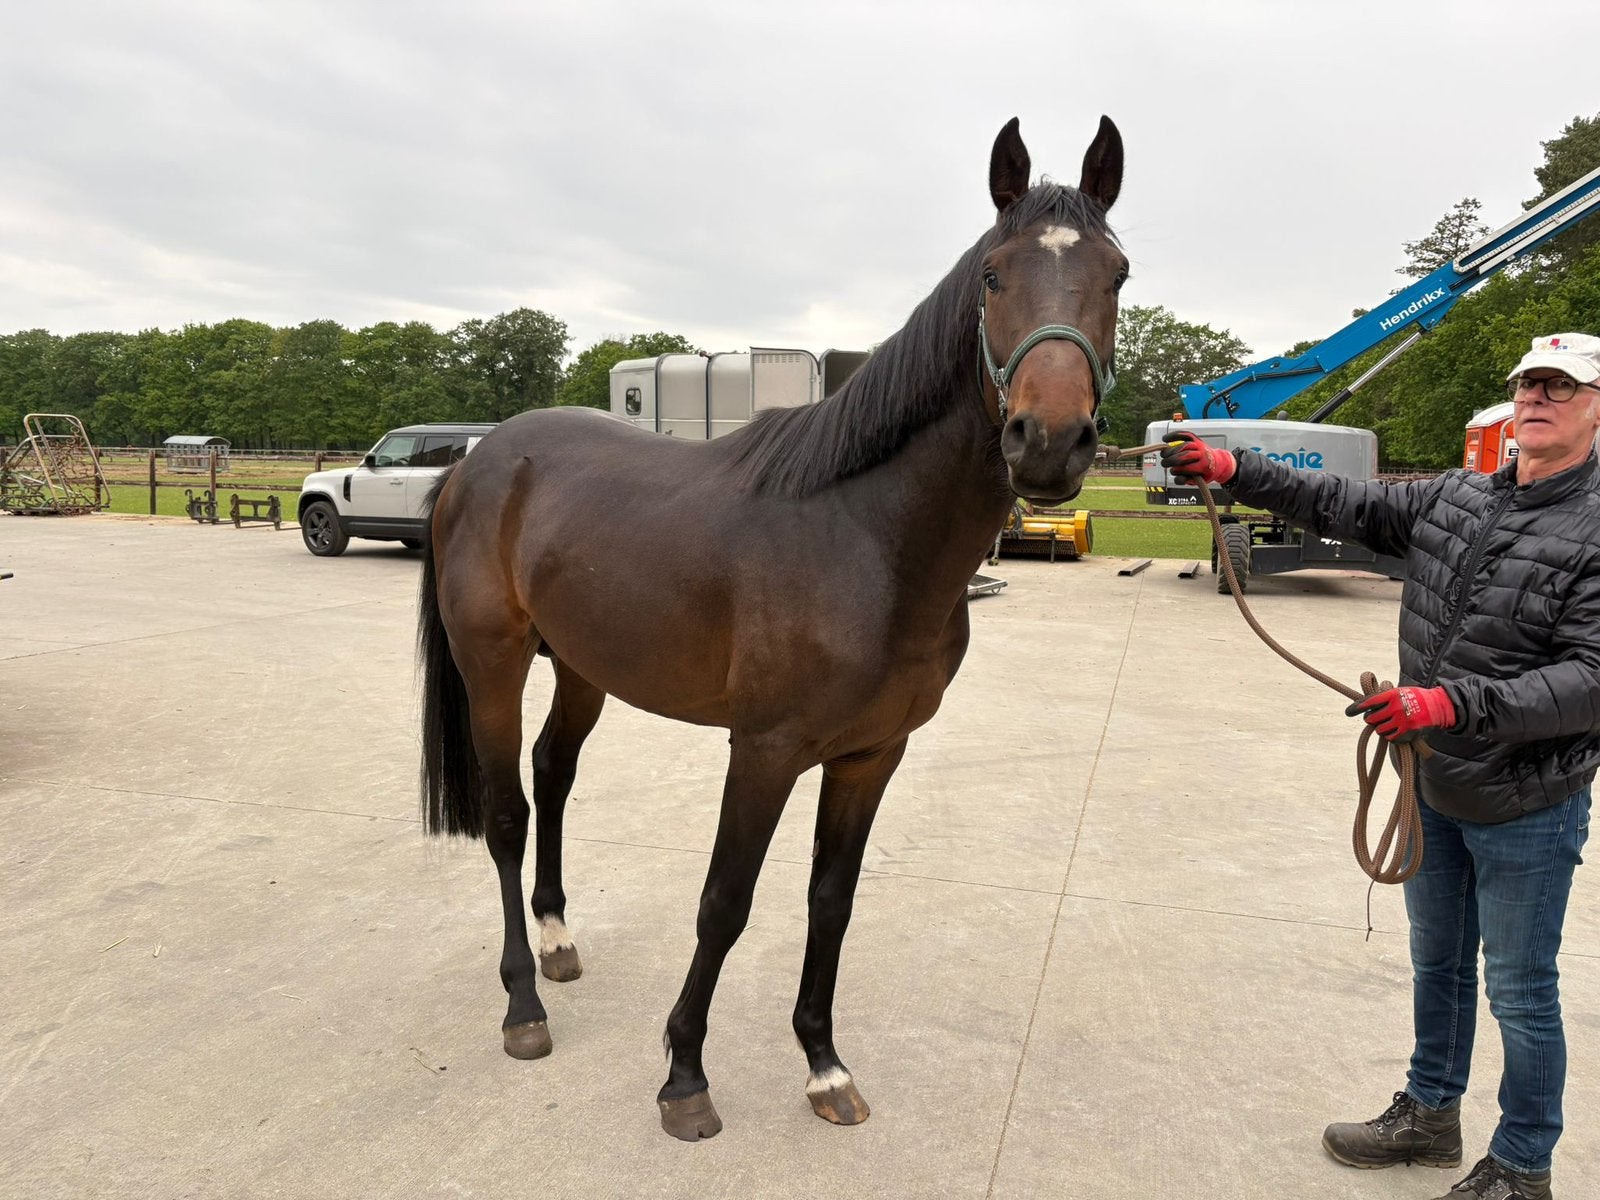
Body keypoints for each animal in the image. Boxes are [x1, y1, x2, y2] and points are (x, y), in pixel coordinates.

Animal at [417, 115, 1126, 1140]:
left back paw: (557, 940)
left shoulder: (870, 755)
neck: (864, 535)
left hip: (585, 666)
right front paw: (684, 1076)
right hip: (495, 663)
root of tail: (479, 460)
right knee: (507, 814)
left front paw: (824, 1065)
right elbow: (726, 903)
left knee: (553, 776)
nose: (1050, 441)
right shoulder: (763, 750)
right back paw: (523, 1004)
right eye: (994, 275)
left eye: (1118, 276)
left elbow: (830, 902)